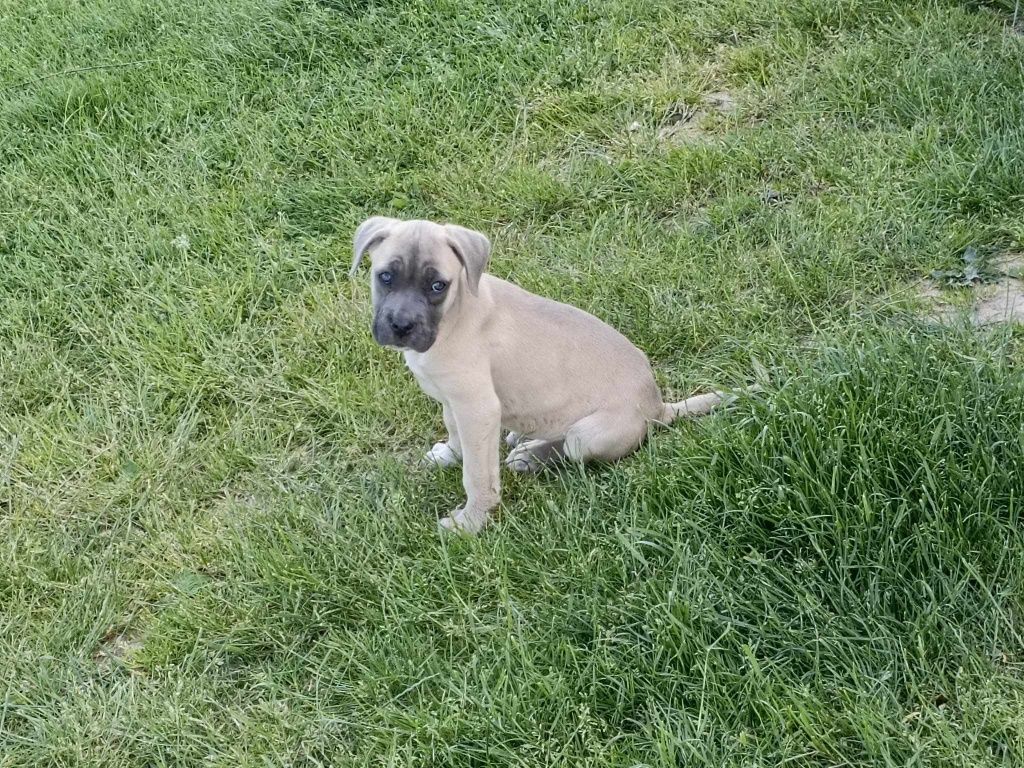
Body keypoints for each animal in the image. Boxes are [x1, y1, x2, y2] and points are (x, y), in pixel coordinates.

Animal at [352, 214, 737, 532]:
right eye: (385, 277)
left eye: (437, 286)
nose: (401, 327)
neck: (453, 314)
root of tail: (658, 407)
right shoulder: (453, 400)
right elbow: (456, 434)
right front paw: (450, 454)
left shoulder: (477, 408)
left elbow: (477, 474)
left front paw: (471, 522)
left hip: (587, 436)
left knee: (570, 448)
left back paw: (532, 456)